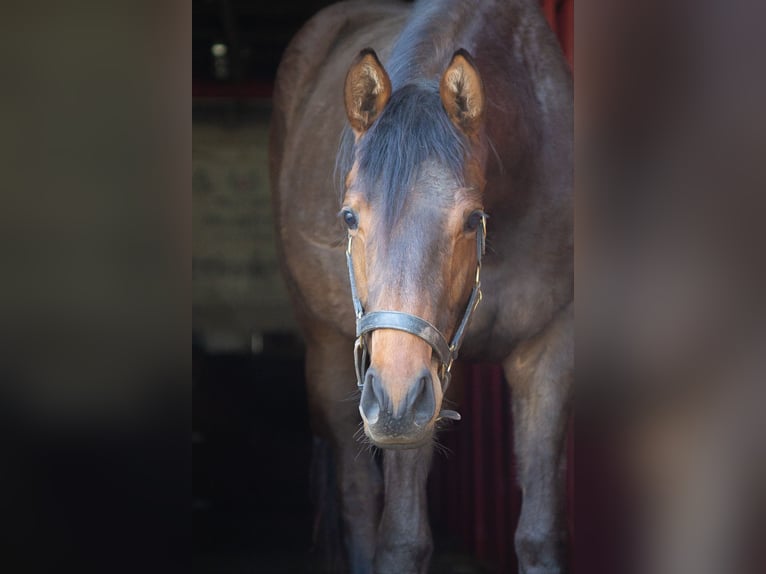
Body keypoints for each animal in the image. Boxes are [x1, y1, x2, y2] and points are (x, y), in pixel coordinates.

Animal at [269, 1, 572, 572]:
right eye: (349, 217)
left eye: (472, 219)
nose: (393, 402)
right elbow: (402, 540)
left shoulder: (546, 354)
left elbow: (540, 535)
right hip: (329, 353)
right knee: (356, 495)